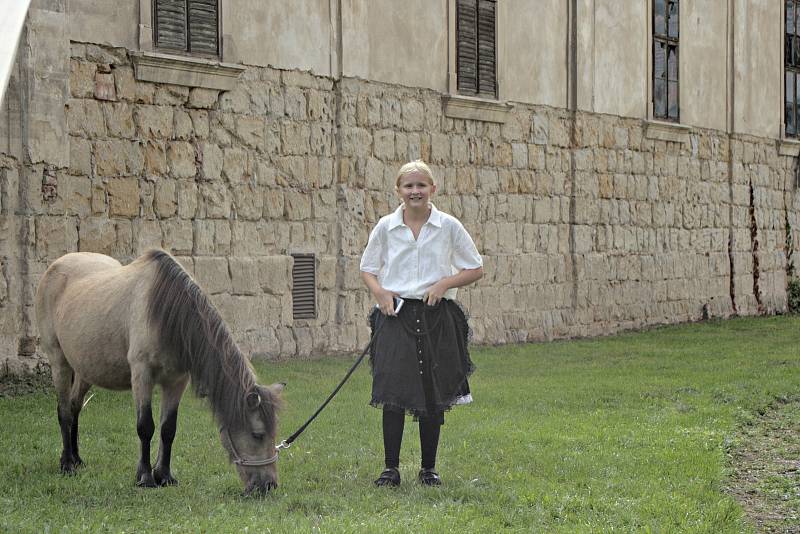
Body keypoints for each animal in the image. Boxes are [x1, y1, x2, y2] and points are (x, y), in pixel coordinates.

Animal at [35, 251, 284, 498]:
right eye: (258, 434)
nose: (269, 485)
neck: (167, 313)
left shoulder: (176, 381)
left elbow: (168, 429)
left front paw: (164, 475)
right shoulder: (142, 375)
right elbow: (146, 427)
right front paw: (145, 477)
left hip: (85, 370)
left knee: (75, 407)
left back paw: (77, 458)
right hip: (59, 362)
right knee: (64, 412)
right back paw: (67, 463)